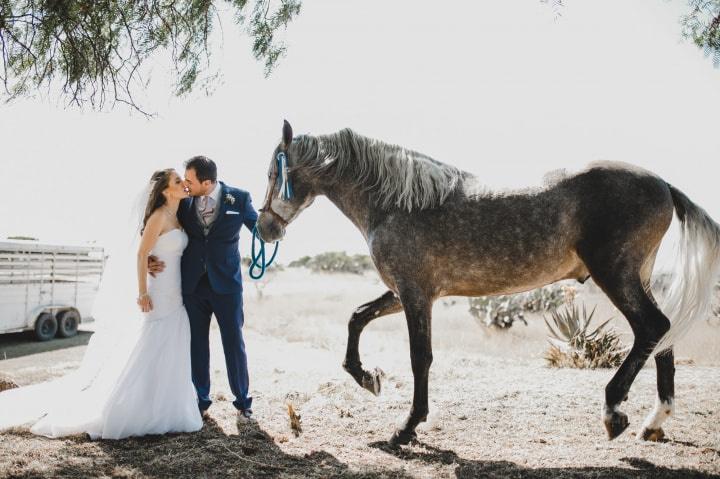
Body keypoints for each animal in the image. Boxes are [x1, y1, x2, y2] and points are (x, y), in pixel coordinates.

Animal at [256, 122, 716, 448]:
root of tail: (662, 184)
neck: (395, 203)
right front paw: (368, 379)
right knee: (663, 335)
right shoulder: (408, 292)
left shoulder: (415, 295)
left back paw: (614, 412)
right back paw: (653, 423)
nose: (264, 228)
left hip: (616, 275)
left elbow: (420, 357)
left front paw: (405, 429)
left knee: (652, 328)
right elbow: (357, 318)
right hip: (637, 278)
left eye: (274, 172)